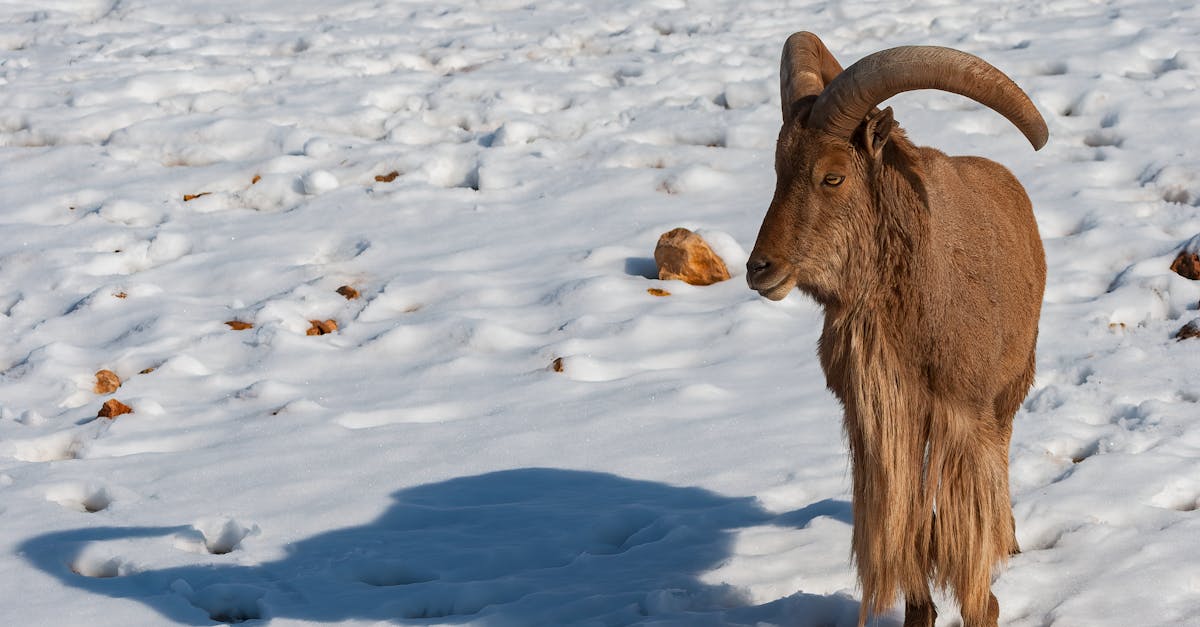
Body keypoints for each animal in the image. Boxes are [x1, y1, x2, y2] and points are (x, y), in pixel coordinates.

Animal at [744, 32, 1046, 624]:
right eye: (778, 169)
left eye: (832, 175)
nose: (760, 268)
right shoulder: (885, 428)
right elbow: (903, 527)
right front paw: (918, 609)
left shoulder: (963, 418)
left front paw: (985, 603)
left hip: (1011, 387)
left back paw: (1010, 541)